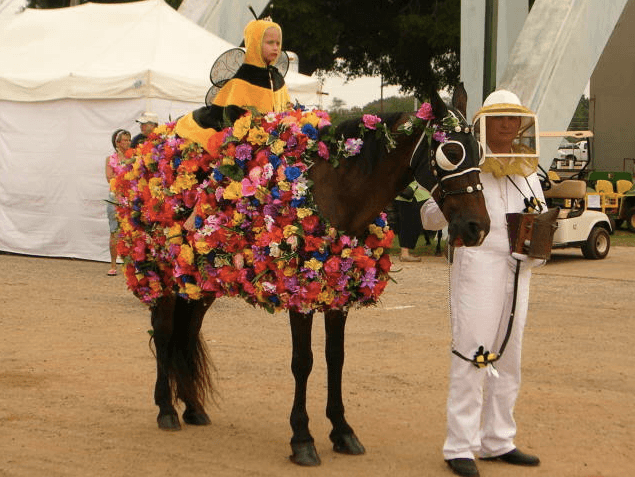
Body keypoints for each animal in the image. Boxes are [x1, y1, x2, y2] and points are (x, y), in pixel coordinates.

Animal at [115, 82, 492, 464]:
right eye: (452, 152)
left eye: (480, 152)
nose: (477, 227)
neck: (335, 191)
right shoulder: (301, 298)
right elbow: (303, 362)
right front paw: (302, 438)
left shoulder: (339, 294)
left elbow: (335, 358)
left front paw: (342, 431)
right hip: (162, 277)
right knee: (164, 332)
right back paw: (166, 409)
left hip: (200, 283)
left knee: (188, 333)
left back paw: (193, 408)